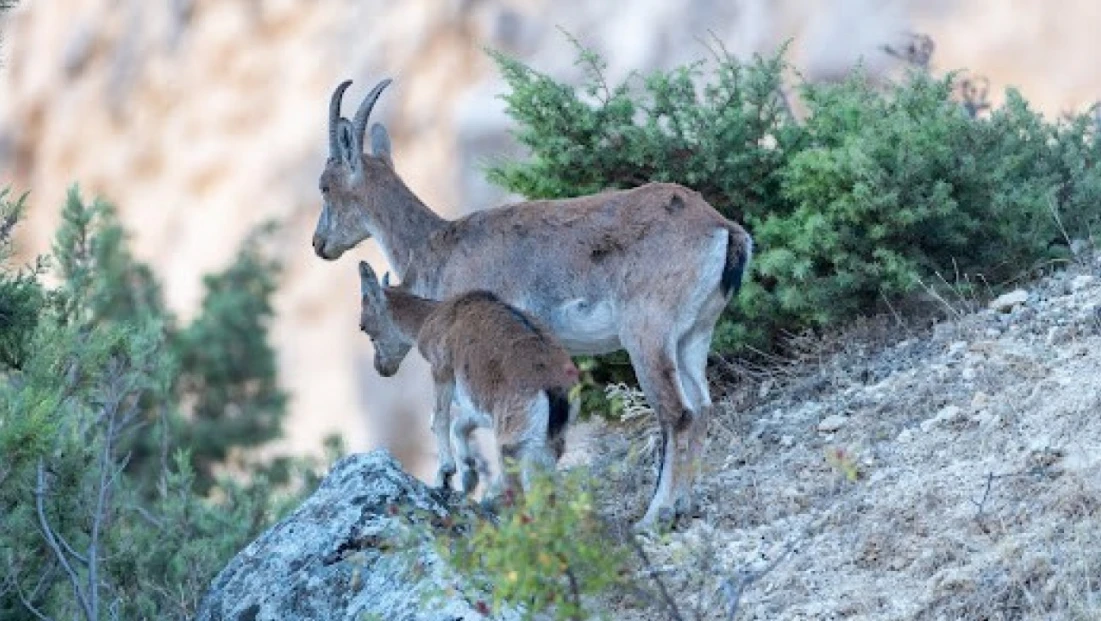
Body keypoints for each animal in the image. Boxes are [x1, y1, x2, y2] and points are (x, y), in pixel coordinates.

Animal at [314, 79, 753, 530]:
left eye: (325, 186)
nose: (319, 244)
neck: (437, 247)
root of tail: (724, 230)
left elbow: (459, 415)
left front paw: (462, 478)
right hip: (694, 334)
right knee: (702, 407)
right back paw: (685, 503)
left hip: (647, 332)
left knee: (676, 412)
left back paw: (654, 514)